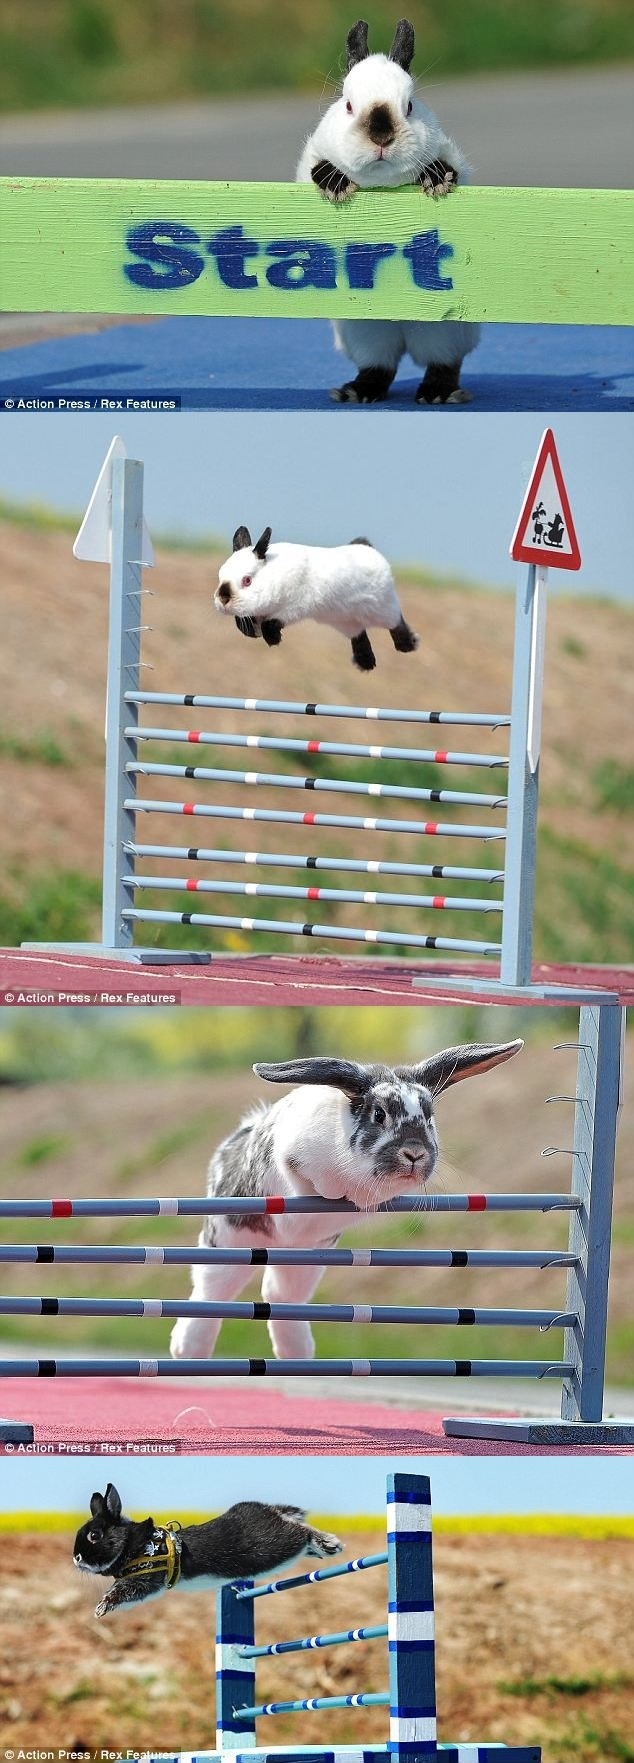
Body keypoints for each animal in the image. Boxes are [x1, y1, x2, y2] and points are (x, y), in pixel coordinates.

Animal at [74, 1483, 342, 1618]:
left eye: (94, 1535)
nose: (76, 1558)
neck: (134, 1544)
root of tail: (270, 1510)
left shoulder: (145, 1582)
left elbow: (119, 1593)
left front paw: (100, 1609)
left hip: (272, 1549)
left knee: (301, 1532)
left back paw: (330, 1543)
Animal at [170, 1038, 522, 1364]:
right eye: (379, 1114)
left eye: (429, 1117)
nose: (414, 1153)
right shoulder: (290, 1156)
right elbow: (306, 1179)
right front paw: (329, 1191)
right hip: (230, 1244)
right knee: (211, 1292)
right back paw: (186, 1349)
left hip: (305, 1260)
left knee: (279, 1294)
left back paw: (296, 1353)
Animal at [214, 525, 418, 671]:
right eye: (220, 576)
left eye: (247, 580)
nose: (223, 600)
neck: (273, 573)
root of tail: (367, 548)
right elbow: (247, 624)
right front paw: (252, 633)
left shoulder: (294, 607)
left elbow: (270, 624)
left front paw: (273, 640)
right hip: (346, 622)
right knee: (359, 635)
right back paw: (365, 663)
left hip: (383, 609)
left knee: (397, 623)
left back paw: (407, 645)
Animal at [296, 18, 480, 405]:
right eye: (349, 105)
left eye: (408, 106)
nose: (381, 135)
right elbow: (317, 170)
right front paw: (336, 184)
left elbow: (448, 168)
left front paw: (436, 180)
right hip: (364, 331)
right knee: (380, 365)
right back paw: (357, 392)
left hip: (444, 331)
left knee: (444, 362)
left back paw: (437, 394)